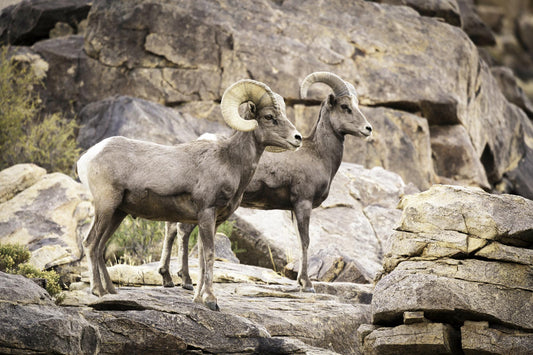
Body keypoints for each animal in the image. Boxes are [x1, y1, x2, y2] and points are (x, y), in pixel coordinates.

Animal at [77, 79, 302, 310]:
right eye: (269, 117)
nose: (297, 138)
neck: (230, 161)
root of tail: (88, 157)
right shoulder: (206, 213)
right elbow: (209, 255)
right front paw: (211, 301)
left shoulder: (213, 221)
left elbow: (202, 259)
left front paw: (198, 298)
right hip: (106, 207)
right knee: (90, 243)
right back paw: (98, 291)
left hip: (118, 213)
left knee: (100, 247)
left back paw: (111, 291)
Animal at [160, 71, 372, 292]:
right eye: (345, 106)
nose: (368, 129)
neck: (319, 154)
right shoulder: (303, 204)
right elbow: (305, 241)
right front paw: (307, 284)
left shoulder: (294, 210)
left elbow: (299, 241)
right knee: (183, 231)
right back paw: (185, 280)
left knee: (171, 228)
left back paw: (168, 278)